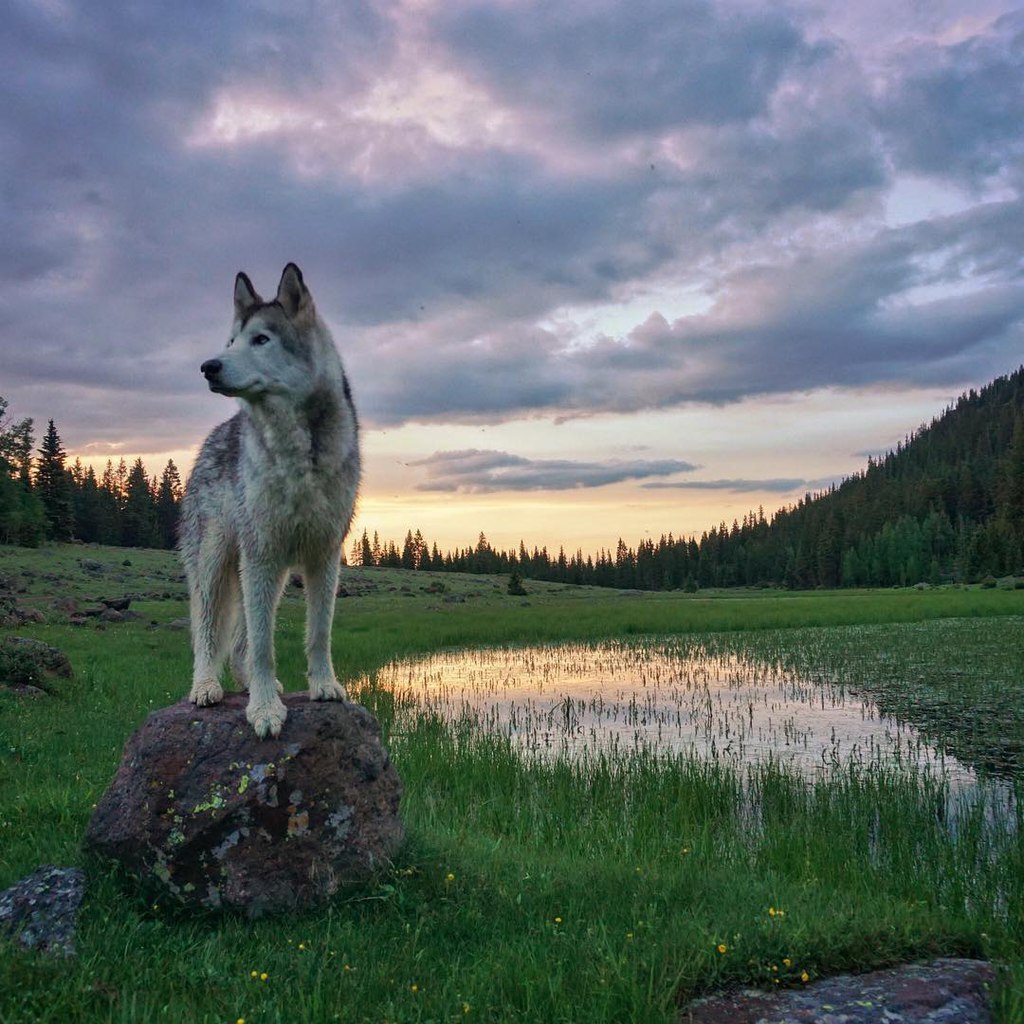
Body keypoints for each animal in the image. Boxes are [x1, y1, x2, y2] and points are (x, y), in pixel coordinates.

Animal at [180, 266, 360, 737]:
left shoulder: (324, 557)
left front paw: (324, 687)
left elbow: (318, 634)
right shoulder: (261, 555)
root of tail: (215, 435)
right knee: (208, 634)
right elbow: (264, 646)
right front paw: (263, 711)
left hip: (268, 577)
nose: (208, 366)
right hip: (218, 567)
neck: (300, 454)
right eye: (230, 341)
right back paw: (206, 687)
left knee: (240, 641)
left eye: (261, 339)